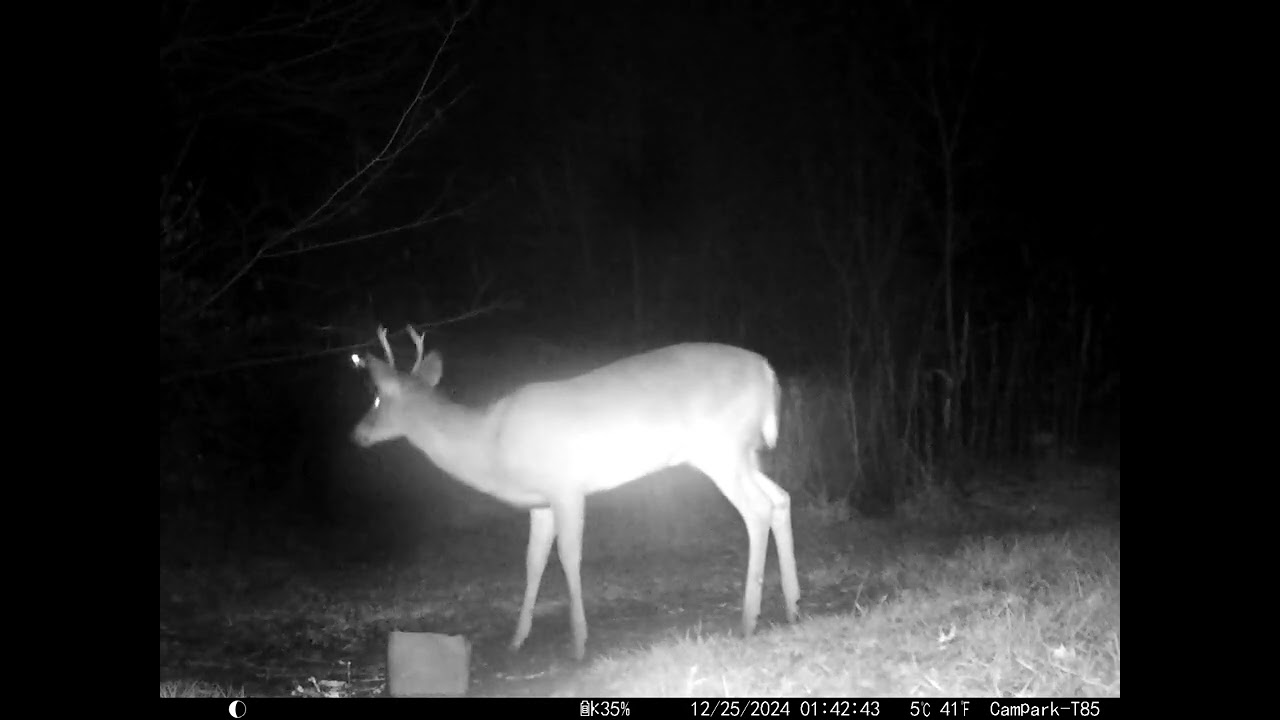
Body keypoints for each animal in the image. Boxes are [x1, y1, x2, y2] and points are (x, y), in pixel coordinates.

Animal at [350, 325, 801, 661]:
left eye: (378, 398)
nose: (357, 434)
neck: (489, 442)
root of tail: (767, 371)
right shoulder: (540, 503)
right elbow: (533, 562)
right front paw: (517, 639)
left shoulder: (566, 487)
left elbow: (569, 557)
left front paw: (579, 643)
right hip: (745, 452)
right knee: (781, 498)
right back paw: (793, 607)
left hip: (719, 448)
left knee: (757, 509)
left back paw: (748, 620)